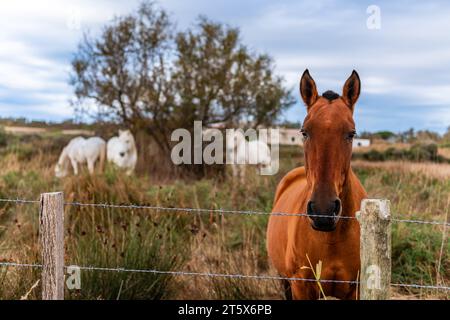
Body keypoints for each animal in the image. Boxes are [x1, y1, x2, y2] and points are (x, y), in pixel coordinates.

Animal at [268, 70, 366, 300]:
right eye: (304, 132)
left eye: (351, 133)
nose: (323, 211)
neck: (332, 238)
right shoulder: (301, 286)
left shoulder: (355, 289)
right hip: (285, 281)